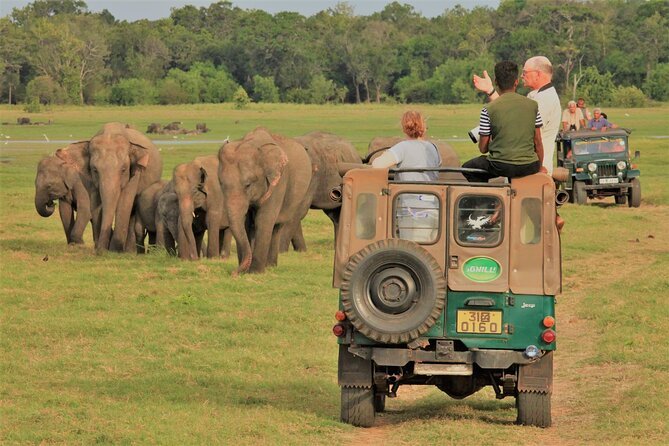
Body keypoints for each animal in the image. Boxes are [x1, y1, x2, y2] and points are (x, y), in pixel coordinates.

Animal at [86, 122, 163, 252]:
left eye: (123, 170)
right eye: (95, 170)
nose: (101, 252)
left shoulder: (135, 172)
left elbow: (125, 201)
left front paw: (114, 251)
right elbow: (95, 203)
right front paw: (101, 250)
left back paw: (130, 252)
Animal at [218, 127, 312, 274]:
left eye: (248, 185)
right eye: (221, 184)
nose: (234, 273)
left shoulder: (278, 183)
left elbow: (264, 220)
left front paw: (255, 272)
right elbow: (246, 223)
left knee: (277, 227)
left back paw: (270, 266)